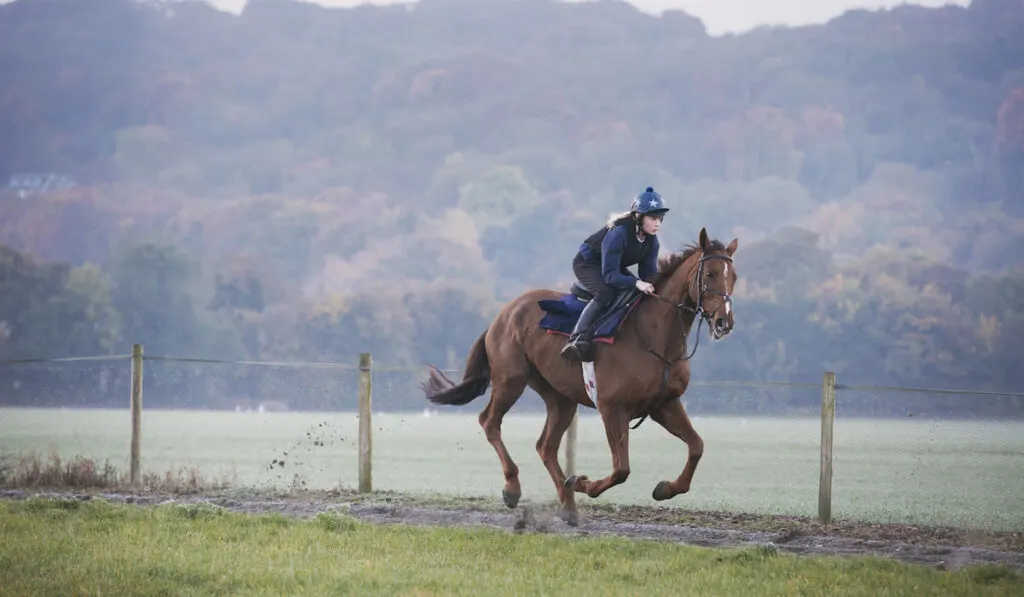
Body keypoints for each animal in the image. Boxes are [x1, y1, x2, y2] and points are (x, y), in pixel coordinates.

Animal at [421, 226, 737, 524]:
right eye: (710, 274)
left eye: (732, 276)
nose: (725, 322)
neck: (654, 337)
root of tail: (502, 314)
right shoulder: (612, 407)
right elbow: (621, 469)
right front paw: (582, 483)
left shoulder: (664, 404)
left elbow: (696, 446)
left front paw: (665, 489)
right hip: (511, 381)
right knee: (490, 422)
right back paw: (514, 488)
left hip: (560, 397)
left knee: (545, 446)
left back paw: (568, 506)